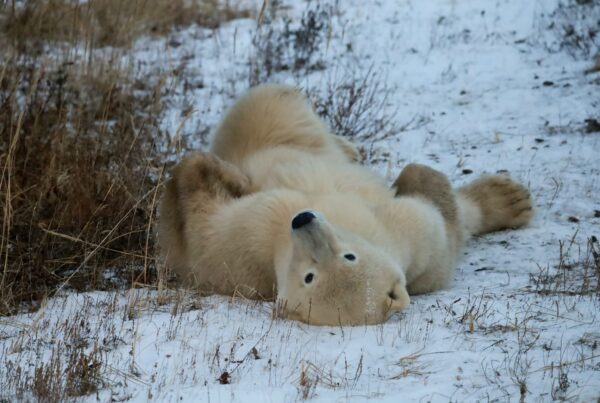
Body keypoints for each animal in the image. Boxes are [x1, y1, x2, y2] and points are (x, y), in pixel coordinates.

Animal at [157, 84, 532, 326]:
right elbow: (199, 228)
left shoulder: (411, 239)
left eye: (349, 257)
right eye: (309, 277)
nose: (303, 219)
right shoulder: (251, 241)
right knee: (269, 104)